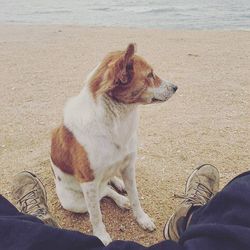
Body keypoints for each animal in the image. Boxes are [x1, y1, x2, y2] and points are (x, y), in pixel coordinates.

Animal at [49, 43, 177, 244]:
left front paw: (142, 218)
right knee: (101, 194)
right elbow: (96, 215)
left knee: (107, 188)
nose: (176, 87)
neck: (114, 121)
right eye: (150, 75)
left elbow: (135, 197)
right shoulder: (88, 182)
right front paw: (102, 236)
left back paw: (120, 192)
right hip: (75, 202)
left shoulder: (129, 166)